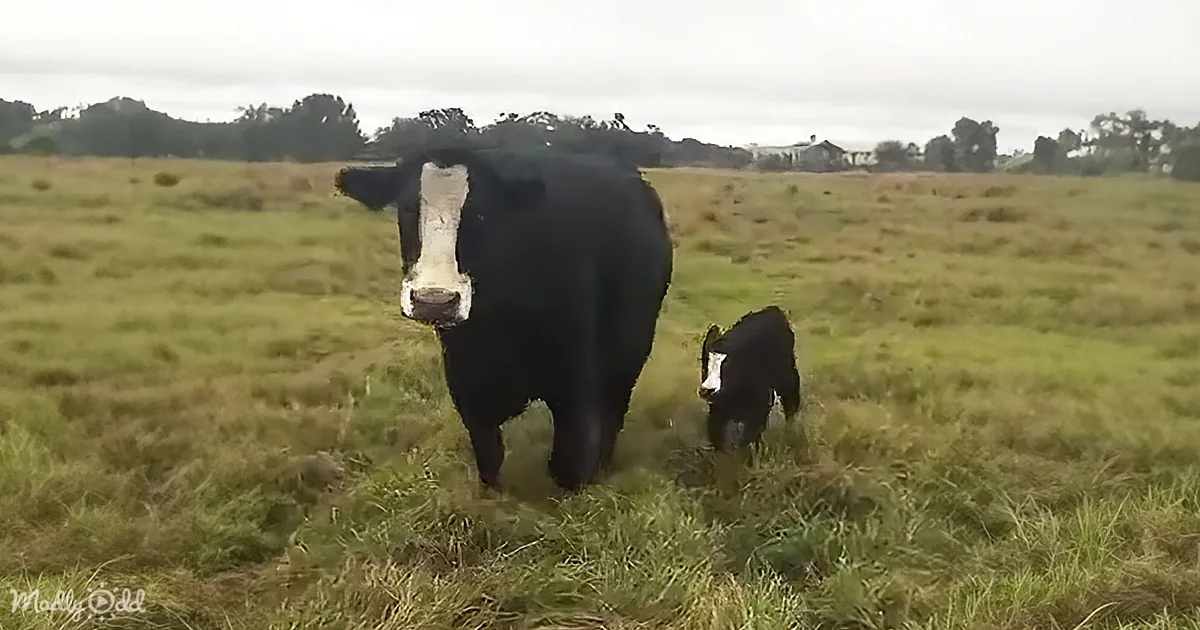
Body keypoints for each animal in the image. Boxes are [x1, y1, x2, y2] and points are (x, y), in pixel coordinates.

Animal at [334, 146, 673, 492]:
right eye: (406, 210)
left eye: (481, 214)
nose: (434, 301)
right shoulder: (468, 386)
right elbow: (490, 460)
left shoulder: (574, 385)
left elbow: (567, 464)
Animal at [697, 305, 803, 451]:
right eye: (705, 364)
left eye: (728, 367)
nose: (707, 390)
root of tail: (773, 310)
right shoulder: (717, 413)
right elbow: (717, 439)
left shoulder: (759, 407)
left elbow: (751, 437)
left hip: (786, 375)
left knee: (791, 401)